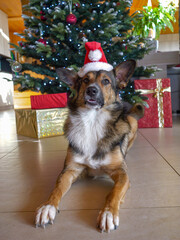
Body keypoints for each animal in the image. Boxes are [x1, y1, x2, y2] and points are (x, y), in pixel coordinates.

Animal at [35, 56, 145, 232]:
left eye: (106, 81)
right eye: (86, 80)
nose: (91, 90)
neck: (93, 122)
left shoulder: (121, 173)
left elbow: (114, 192)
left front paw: (108, 213)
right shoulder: (70, 170)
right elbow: (56, 188)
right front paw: (47, 207)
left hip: (132, 121)